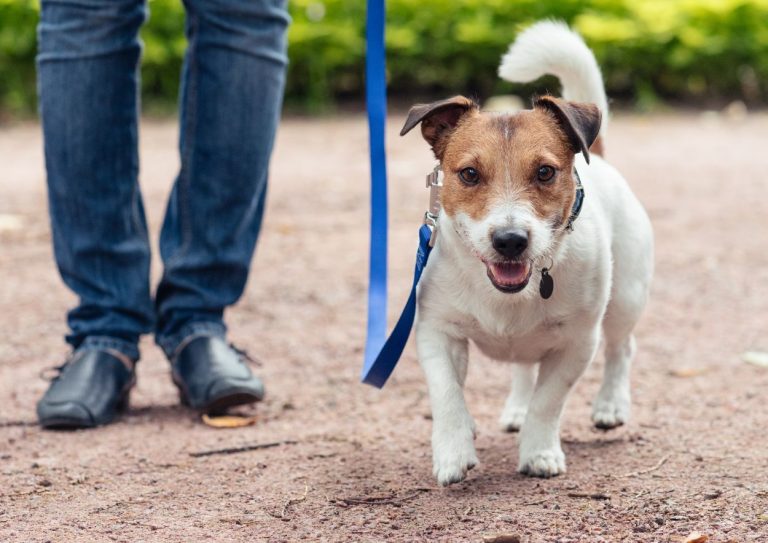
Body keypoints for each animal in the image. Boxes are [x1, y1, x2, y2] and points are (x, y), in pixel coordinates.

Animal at [402, 20, 656, 484]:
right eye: (469, 174)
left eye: (545, 172)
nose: (510, 240)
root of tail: (600, 158)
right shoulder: (437, 331)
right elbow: (447, 395)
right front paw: (453, 450)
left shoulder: (577, 342)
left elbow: (548, 401)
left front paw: (539, 452)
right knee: (524, 367)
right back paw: (516, 409)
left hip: (626, 298)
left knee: (621, 349)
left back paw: (610, 405)